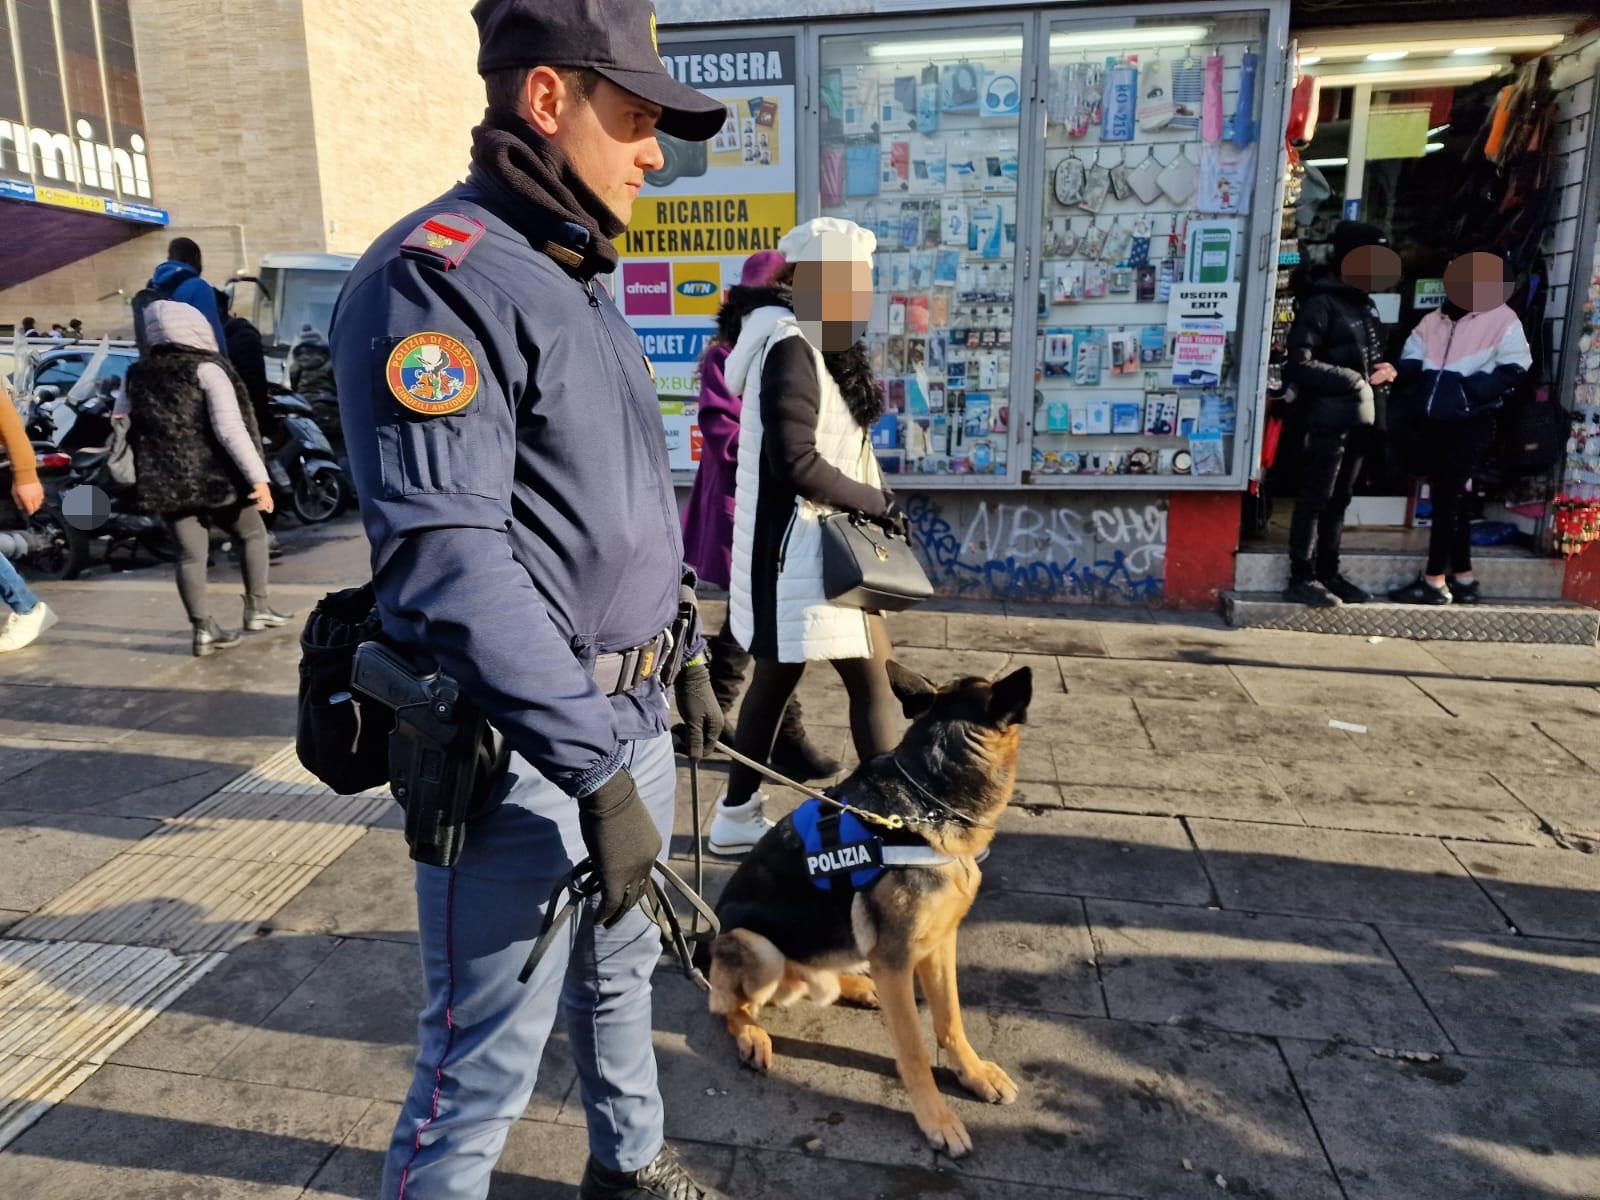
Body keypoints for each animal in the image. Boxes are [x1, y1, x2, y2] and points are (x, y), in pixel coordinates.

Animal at [704, 662, 1030, 1158]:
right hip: (755, 945)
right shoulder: (896, 959)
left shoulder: (939, 944)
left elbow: (951, 1019)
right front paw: (937, 1120)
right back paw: (751, 1034)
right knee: (727, 1007)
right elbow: (914, 1050)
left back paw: (855, 986)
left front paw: (972, 1073)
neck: (928, 803)